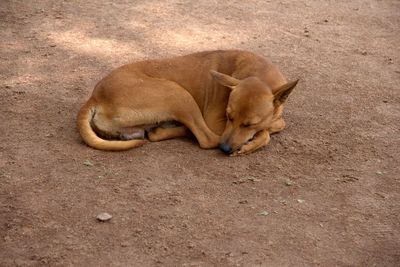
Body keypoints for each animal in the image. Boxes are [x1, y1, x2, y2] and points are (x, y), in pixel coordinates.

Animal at [78, 50, 296, 156]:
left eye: (249, 124)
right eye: (228, 116)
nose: (225, 149)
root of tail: (95, 96)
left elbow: (278, 123)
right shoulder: (216, 123)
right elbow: (268, 131)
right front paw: (254, 142)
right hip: (178, 93)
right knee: (207, 139)